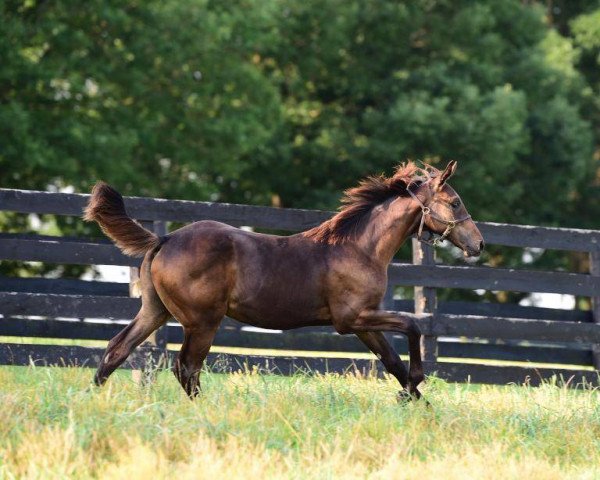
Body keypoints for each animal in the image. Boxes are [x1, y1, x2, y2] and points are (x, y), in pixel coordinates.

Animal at [83, 159, 482, 400]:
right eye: (456, 202)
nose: (478, 244)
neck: (359, 248)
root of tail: (163, 239)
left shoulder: (363, 324)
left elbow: (392, 362)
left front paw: (414, 400)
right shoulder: (352, 319)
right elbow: (414, 326)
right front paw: (416, 384)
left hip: (155, 311)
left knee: (117, 350)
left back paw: (91, 400)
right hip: (201, 321)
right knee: (186, 368)